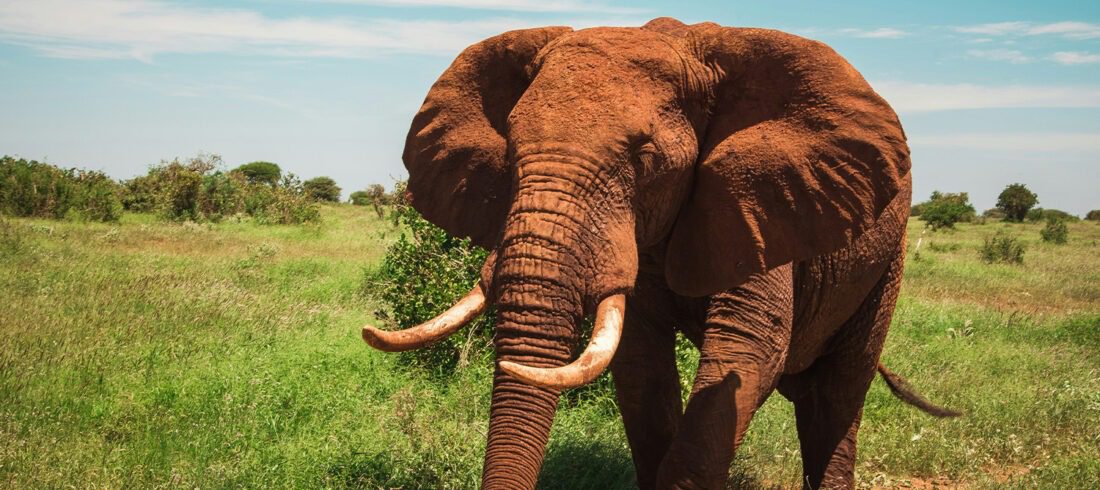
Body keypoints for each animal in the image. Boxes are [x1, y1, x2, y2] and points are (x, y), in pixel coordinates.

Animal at [361, 17, 959, 489]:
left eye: (646, 158)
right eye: (509, 152)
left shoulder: (760, 202)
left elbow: (749, 352)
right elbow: (641, 369)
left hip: (885, 262)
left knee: (836, 399)